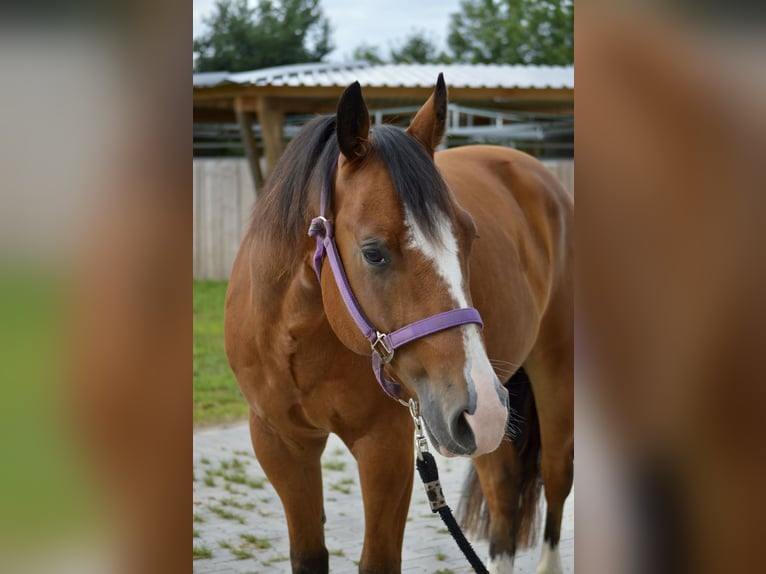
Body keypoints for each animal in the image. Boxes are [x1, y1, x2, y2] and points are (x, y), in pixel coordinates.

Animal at [224, 75, 573, 574]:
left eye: (471, 237)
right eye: (373, 252)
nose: (481, 407)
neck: (295, 340)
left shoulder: (384, 449)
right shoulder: (280, 444)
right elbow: (308, 556)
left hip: (544, 375)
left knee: (556, 473)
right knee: (504, 489)